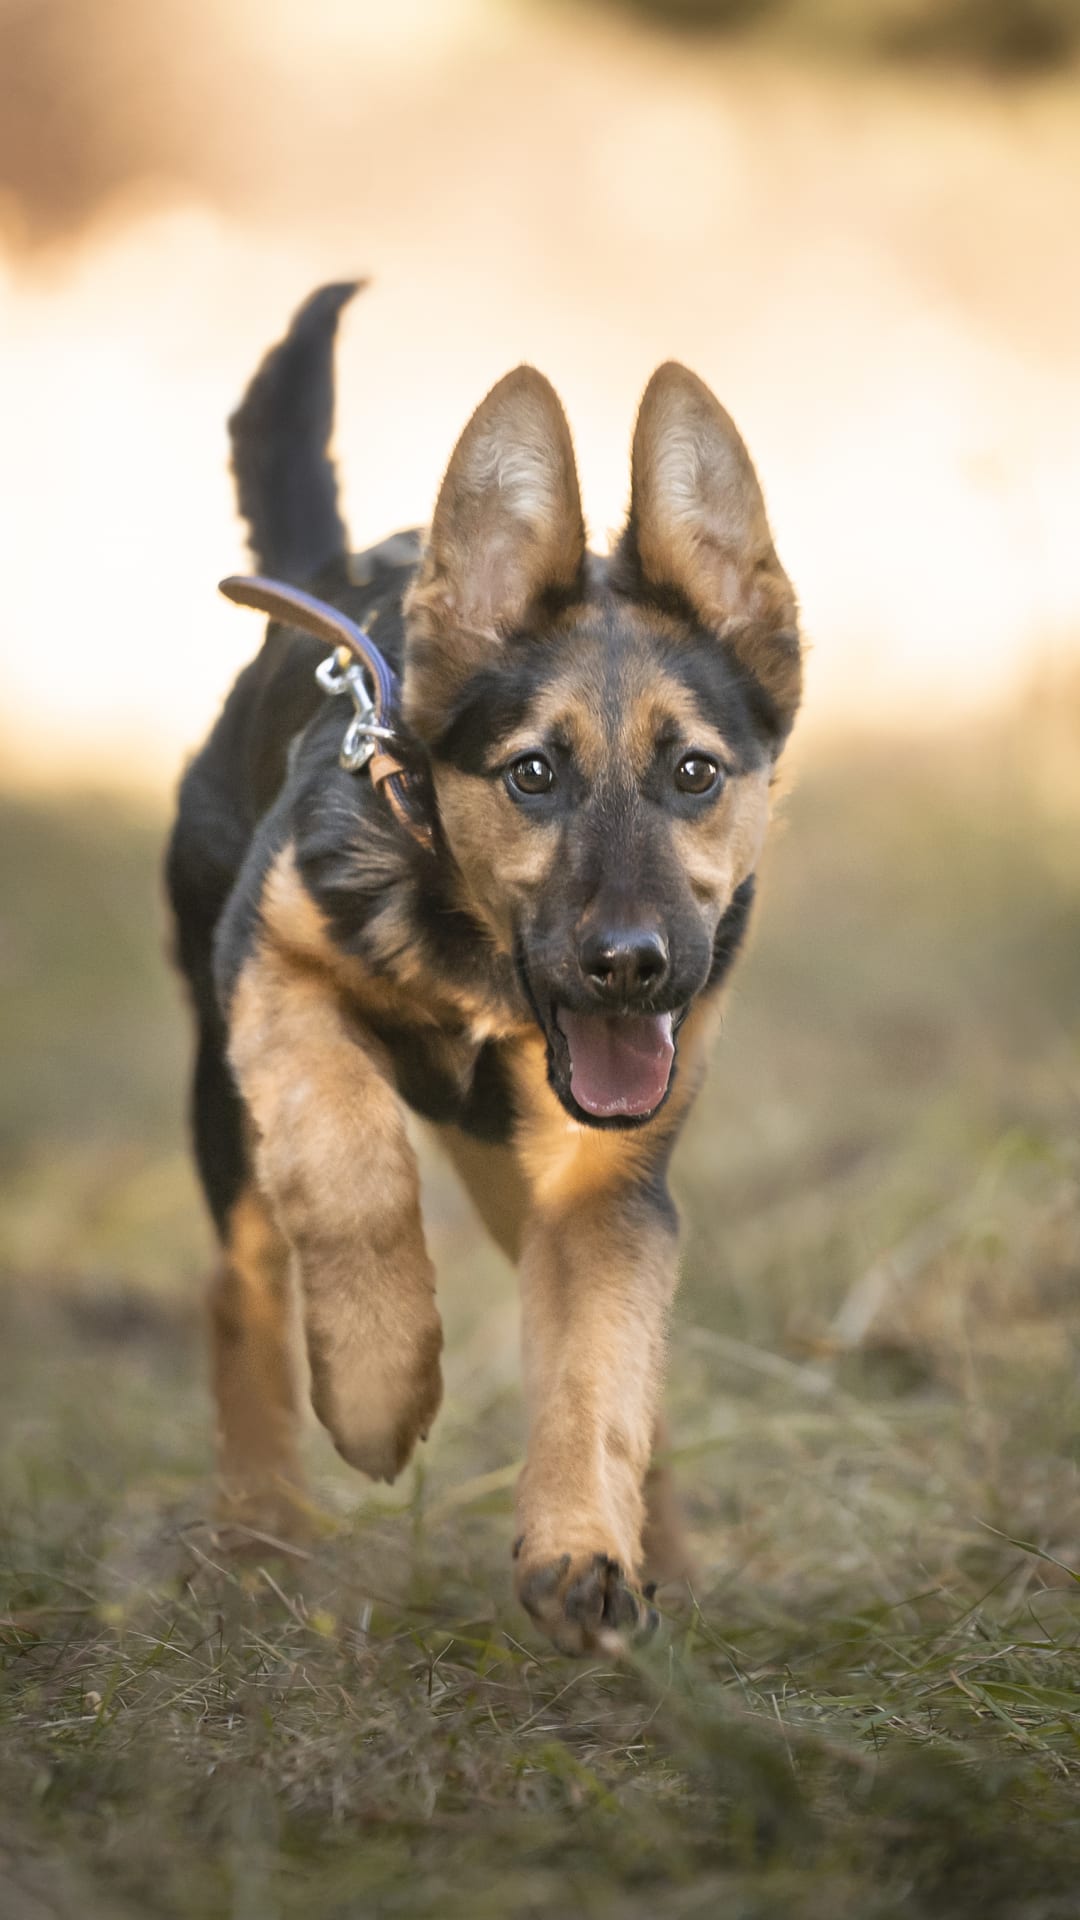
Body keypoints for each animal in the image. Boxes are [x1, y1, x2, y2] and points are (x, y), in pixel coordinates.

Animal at [164, 280, 795, 1651]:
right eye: (533, 775)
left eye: (696, 774)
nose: (632, 969)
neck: (472, 955)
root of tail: (331, 577)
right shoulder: (274, 978)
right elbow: (347, 1166)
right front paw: (375, 1384)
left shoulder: (601, 1185)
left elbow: (603, 1364)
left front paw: (584, 1550)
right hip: (221, 1093)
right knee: (243, 1282)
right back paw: (256, 1538)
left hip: (518, 1174)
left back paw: (664, 1555)